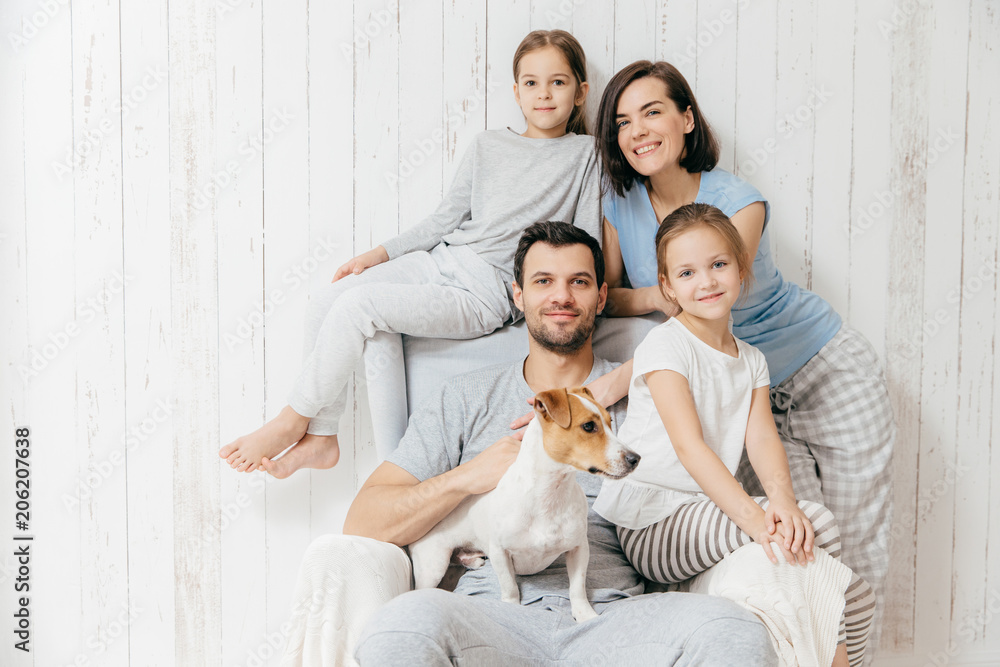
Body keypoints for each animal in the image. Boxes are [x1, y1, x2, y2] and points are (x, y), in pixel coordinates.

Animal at [406, 386, 640, 620]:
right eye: (589, 426)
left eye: (610, 422)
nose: (636, 459)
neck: (550, 493)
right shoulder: (500, 552)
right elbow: (510, 587)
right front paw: (512, 607)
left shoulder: (578, 548)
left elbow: (577, 587)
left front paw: (585, 614)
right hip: (433, 565)